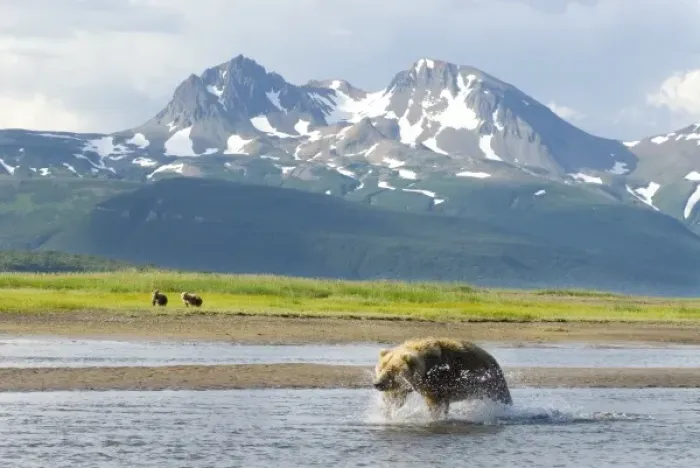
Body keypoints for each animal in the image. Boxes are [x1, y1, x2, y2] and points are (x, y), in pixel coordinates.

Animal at [372, 337, 513, 420]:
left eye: (392, 370)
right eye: (381, 368)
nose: (377, 384)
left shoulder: (437, 380)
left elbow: (436, 404)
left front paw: (435, 418)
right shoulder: (404, 386)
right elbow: (395, 397)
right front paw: (386, 413)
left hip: (490, 381)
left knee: (501, 397)